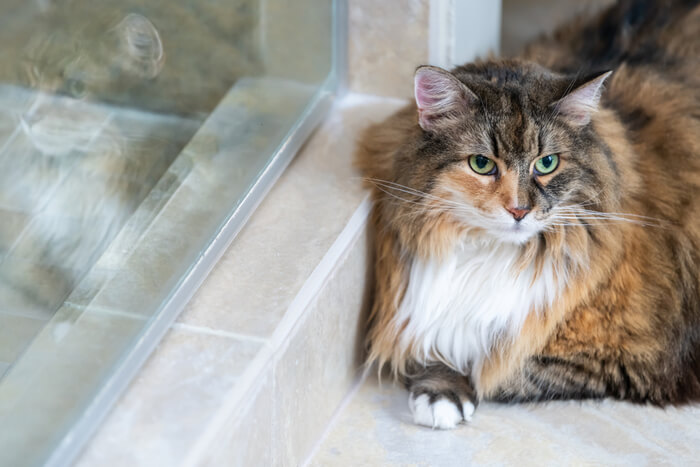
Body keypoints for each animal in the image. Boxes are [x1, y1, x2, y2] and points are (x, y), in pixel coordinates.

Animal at [358, 0, 700, 432]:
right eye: (482, 164)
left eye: (547, 163)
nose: (520, 210)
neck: (491, 254)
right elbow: (435, 337)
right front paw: (439, 387)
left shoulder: (626, 357)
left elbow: (498, 369)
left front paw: (449, 392)